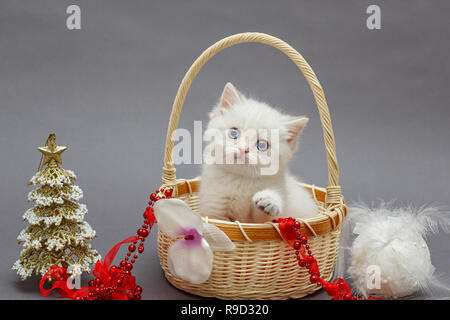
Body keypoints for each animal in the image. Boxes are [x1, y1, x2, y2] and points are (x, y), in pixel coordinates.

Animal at [199, 82, 318, 222]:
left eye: (262, 145)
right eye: (234, 133)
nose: (243, 149)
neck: (241, 180)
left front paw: (269, 201)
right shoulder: (213, 208)